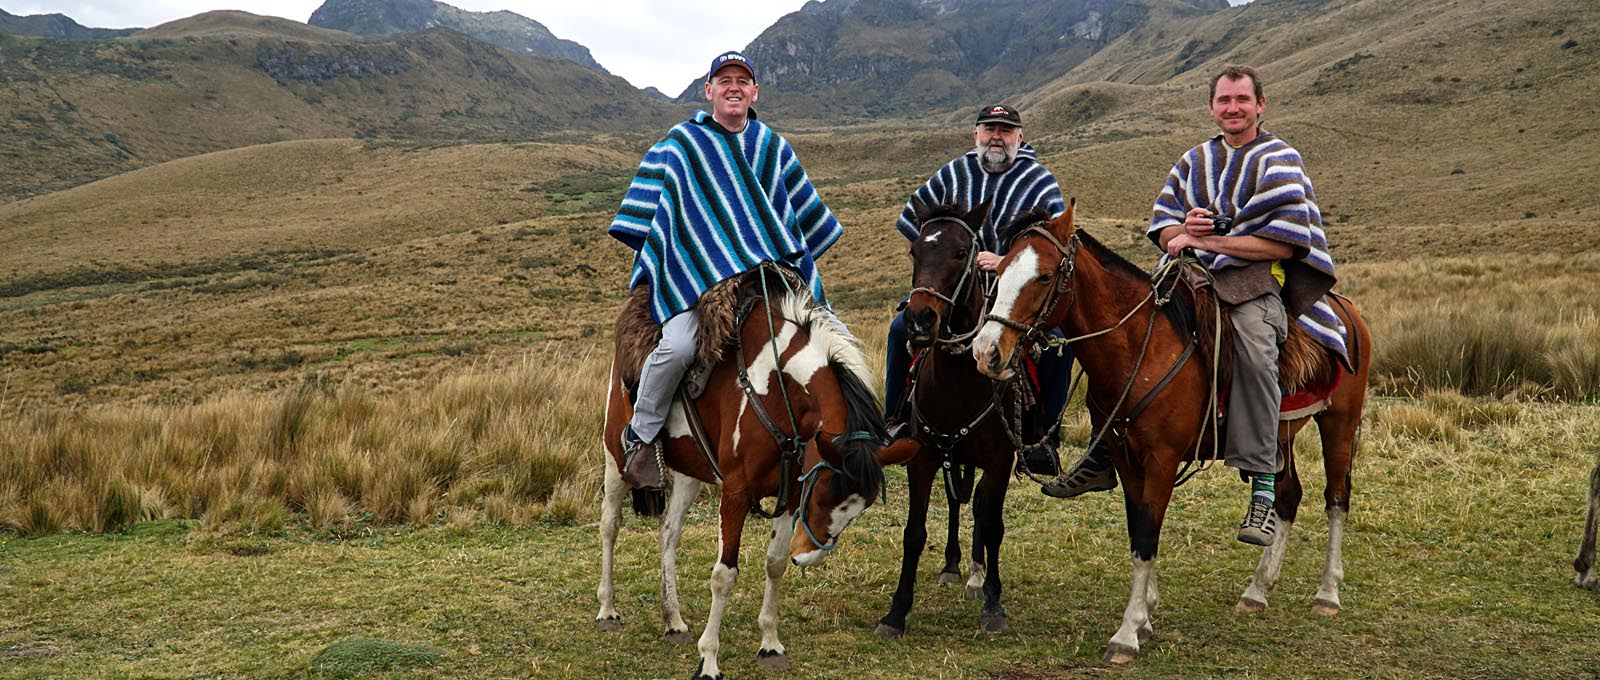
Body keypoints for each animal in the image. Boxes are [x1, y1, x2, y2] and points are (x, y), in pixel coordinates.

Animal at [601, 265, 896, 678]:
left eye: (859, 509)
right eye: (823, 494)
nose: (807, 558)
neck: (775, 386)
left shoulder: (790, 493)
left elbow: (774, 563)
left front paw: (770, 643)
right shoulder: (736, 493)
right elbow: (724, 575)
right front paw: (708, 659)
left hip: (691, 471)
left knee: (669, 531)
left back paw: (673, 619)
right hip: (615, 458)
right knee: (610, 524)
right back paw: (607, 608)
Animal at [870, 201, 1043, 636]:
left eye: (962, 252)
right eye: (914, 251)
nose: (919, 319)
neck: (958, 382)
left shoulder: (999, 461)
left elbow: (993, 525)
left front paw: (994, 604)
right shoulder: (922, 457)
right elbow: (914, 532)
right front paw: (896, 612)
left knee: (980, 508)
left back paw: (978, 579)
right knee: (955, 501)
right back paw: (953, 566)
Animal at [972, 202, 1376, 662]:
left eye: (1043, 276)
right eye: (1001, 268)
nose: (986, 352)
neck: (1139, 347)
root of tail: (1345, 307)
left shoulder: (1162, 460)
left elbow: (1148, 535)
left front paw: (1127, 632)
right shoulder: (1126, 458)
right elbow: (1138, 531)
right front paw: (1145, 615)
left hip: (1339, 422)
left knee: (1337, 500)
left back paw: (1328, 593)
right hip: (1281, 434)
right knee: (1289, 495)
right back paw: (1257, 590)